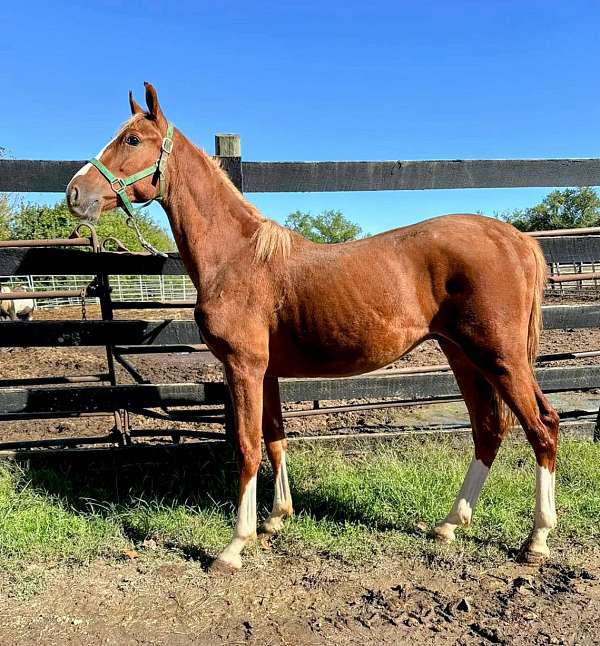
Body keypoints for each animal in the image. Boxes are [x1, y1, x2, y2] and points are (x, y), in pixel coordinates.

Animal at [68, 85, 560, 572]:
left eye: (132, 140)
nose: (75, 193)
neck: (238, 257)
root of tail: (516, 240)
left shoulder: (244, 367)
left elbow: (247, 447)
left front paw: (234, 546)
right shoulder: (265, 372)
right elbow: (274, 438)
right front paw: (274, 520)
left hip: (500, 357)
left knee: (542, 426)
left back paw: (536, 540)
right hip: (462, 354)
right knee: (488, 429)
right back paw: (448, 525)